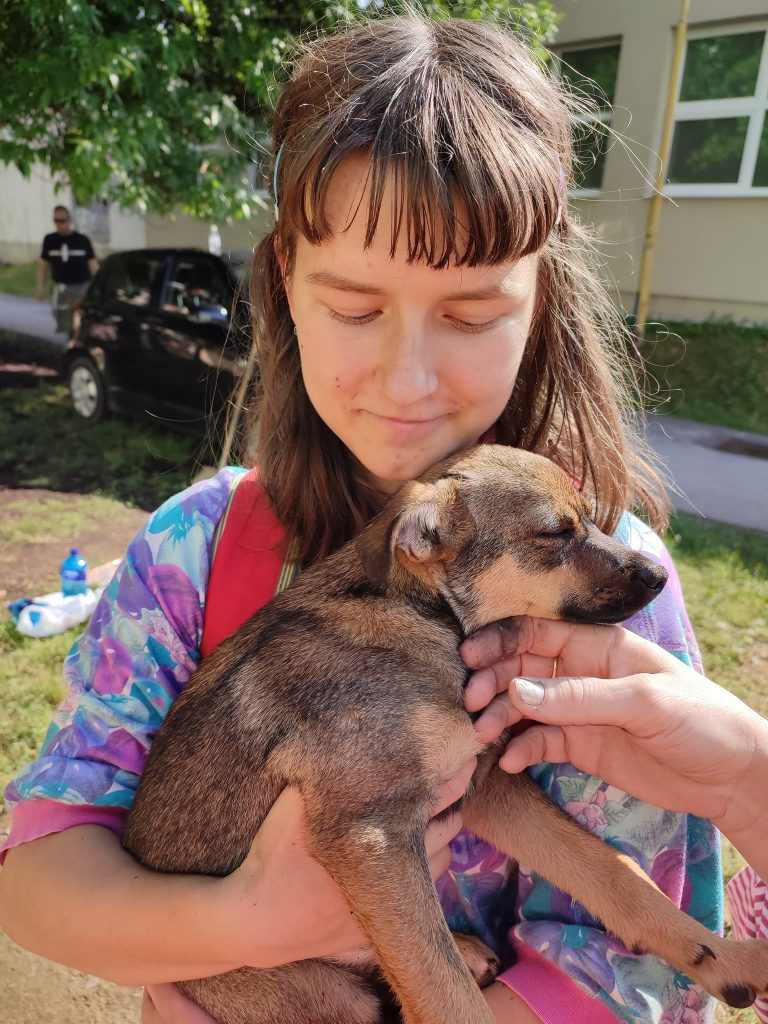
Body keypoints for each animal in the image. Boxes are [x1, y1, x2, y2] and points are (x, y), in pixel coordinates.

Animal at [124, 445, 768, 1024]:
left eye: (587, 517)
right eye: (555, 534)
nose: (660, 574)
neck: (430, 620)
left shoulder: (485, 783)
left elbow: (612, 872)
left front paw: (722, 957)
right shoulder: (371, 832)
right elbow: (443, 991)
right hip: (326, 999)